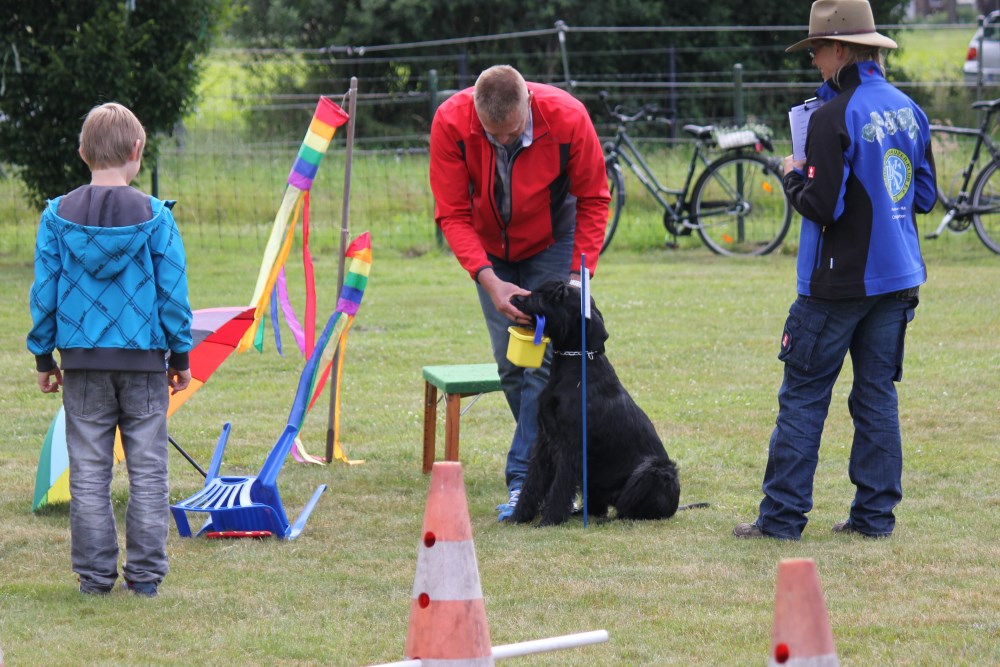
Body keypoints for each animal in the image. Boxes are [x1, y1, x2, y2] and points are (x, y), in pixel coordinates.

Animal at [508, 280, 680, 524]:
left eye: (556, 295)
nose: (515, 298)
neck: (575, 364)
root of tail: (676, 506)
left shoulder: (571, 446)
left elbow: (560, 485)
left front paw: (550, 520)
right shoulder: (544, 440)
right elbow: (533, 483)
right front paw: (518, 516)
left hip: (656, 471)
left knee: (629, 510)